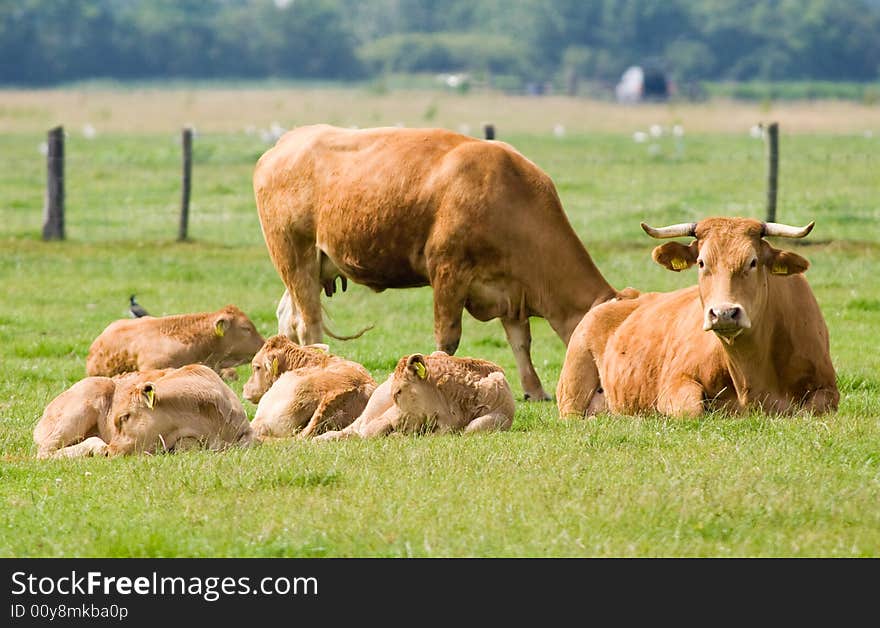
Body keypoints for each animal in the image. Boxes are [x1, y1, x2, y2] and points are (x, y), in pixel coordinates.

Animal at [251, 123, 628, 400]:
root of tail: (285, 142)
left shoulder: (511, 288)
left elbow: (521, 342)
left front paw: (534, 391)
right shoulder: (449, 273)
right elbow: (447, 338)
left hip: (313, 267)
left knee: (288, 319)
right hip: (295, 256)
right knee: (308, 324)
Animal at [556, 218, 840, 420]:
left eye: (752, 262)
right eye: (702, 262)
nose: (724, 313)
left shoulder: (828, 388)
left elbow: (813, 408)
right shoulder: (675, 383)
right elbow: (692, 410)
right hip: (572, 393)